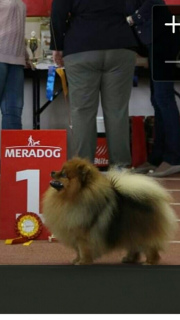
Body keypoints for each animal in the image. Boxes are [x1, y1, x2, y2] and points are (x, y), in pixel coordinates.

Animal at [42, 158, 177, 264]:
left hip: (144, 233)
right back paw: (129, 258)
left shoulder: (83, 236)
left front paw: (83, 262)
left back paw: (149, 262)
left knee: (151, 249)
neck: (73, 197)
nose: (52, 172)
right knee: (134, 246)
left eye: (64, 175)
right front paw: (76, 260)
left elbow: (83, 250)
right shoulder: (75, 234)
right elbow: (78, 251)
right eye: (60, 170)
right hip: (131, 232)